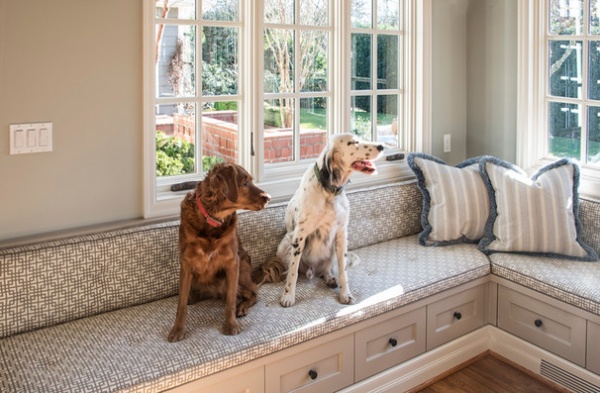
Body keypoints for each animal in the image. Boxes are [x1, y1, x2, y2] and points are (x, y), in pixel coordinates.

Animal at [169, 162, 272, 340]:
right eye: (245, 183)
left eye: (251, 181)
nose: (268, 197)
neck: (212, 220)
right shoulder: (186, 262)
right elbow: (181, 303)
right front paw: (177, 330)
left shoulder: (233, 262)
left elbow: (230, 301)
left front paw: (231, 325)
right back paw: (193, 296)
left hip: (241, 271)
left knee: (252, 295)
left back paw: (241, 307)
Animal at [276, 133, 384, 308]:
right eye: (354, 142)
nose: (381, 146)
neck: (329, 191)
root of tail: (312, 269)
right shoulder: (299, 235)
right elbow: (293, 271)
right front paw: (288, 296)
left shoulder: (341, 235)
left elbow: (343, 272)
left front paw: (345, 294)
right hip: (285, 243)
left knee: (325, 270)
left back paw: (330, 278)